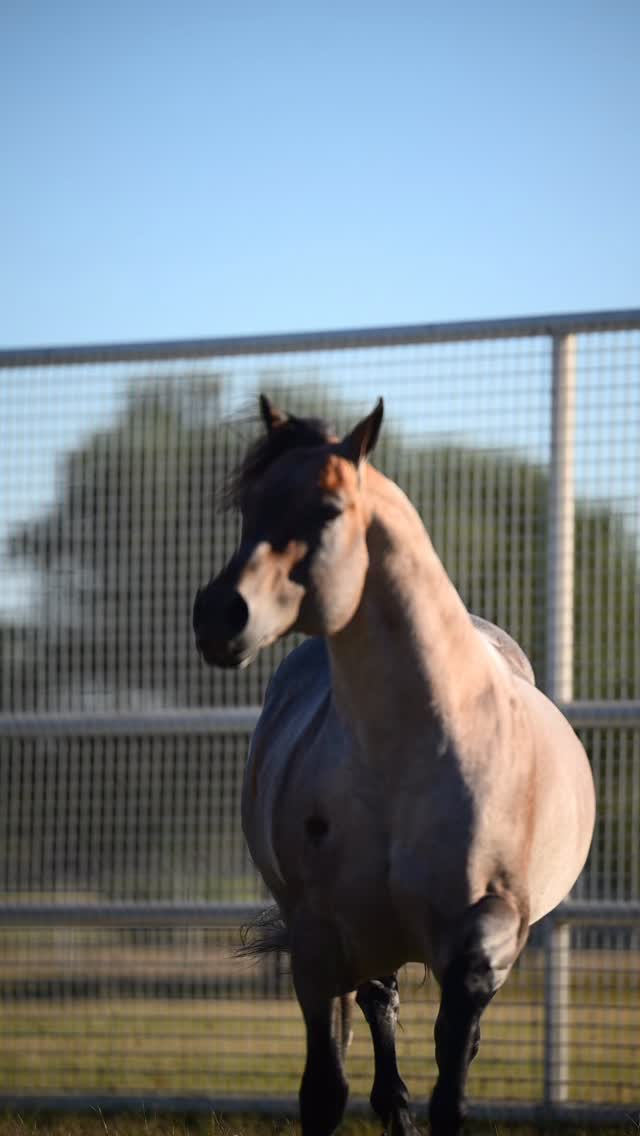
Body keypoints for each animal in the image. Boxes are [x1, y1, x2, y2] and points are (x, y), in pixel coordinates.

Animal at [192, 395, 595, 1135]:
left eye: (328, 510)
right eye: (249, 508)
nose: (218, 615)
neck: (410, 752)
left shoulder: (487, 923)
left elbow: (454, 1065)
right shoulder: (318, 940)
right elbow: (324, 1089)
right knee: (381, 1005)